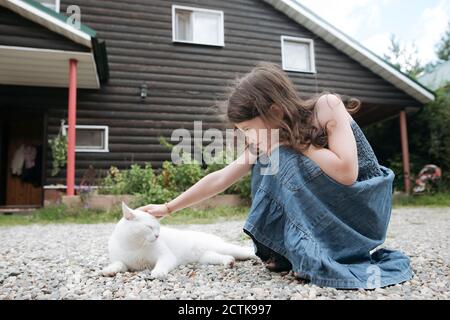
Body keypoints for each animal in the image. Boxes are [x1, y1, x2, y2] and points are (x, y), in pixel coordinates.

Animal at [103, 204, 256, 278]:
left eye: (158, 228)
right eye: (150, 227)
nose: (157, 236)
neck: (134, 245)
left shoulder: (167, 257)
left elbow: (161, 264)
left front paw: (158, 272)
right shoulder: (123, 262)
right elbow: (118, 264)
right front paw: (109, 270)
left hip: (225, 248)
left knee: (246, 251)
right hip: (206, 258)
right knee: (221, 257)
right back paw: (229, 262)